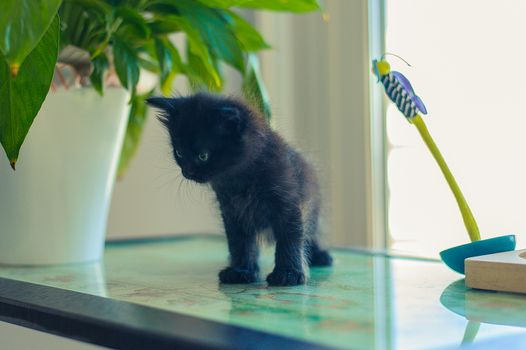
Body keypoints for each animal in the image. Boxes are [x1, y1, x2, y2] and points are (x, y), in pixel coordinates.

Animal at [146, 93, 332, 284]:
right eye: (179, 153)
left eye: (203, 155)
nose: (187, 172)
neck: (239, 179)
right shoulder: (232, 211)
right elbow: (239, 242)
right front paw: (241, 270)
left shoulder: (287, 202)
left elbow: (290, 238)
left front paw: (288, 274)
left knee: (312, 232)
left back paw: (320, 255)